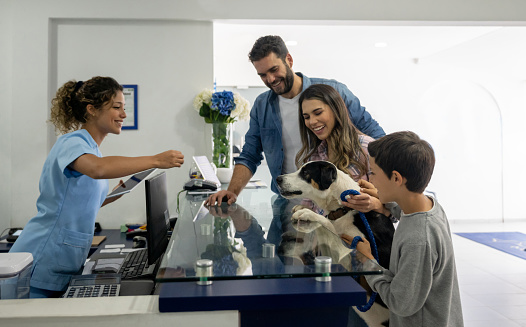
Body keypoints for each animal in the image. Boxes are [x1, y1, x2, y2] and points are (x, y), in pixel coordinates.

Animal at [276, 161, 396, 327]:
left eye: (305, 172)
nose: (278, 179)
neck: (345, 209)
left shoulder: (353, 256)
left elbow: (327, 223)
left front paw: (308, 213)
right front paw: (302, 208)